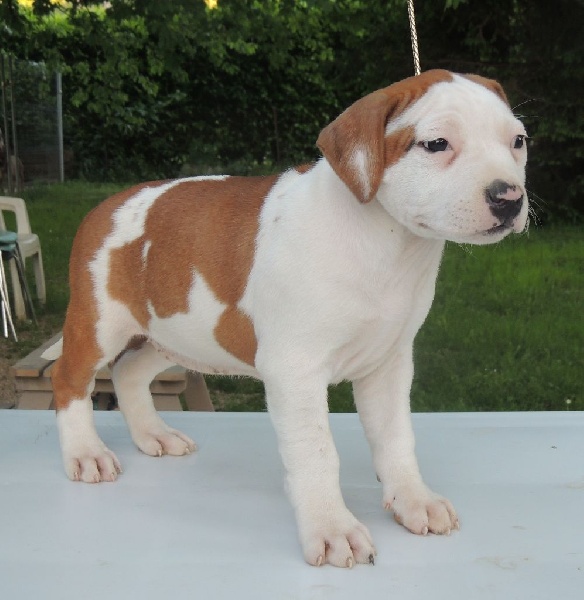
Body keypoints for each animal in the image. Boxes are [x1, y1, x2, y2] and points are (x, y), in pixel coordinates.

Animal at [46, 70, 528, 568]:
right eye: (437, 144)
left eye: (518, 142)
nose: (509, 197)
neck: (388, 244)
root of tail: (105, 206)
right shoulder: (295, 371)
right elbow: (317, 453)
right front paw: (332, 528)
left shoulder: (389, 364)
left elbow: (396, 439)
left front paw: (414, 500)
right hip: (100, 322)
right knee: (69, 378)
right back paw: (86, 453)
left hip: (172, 330)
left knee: (128, 371)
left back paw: (153, 435)